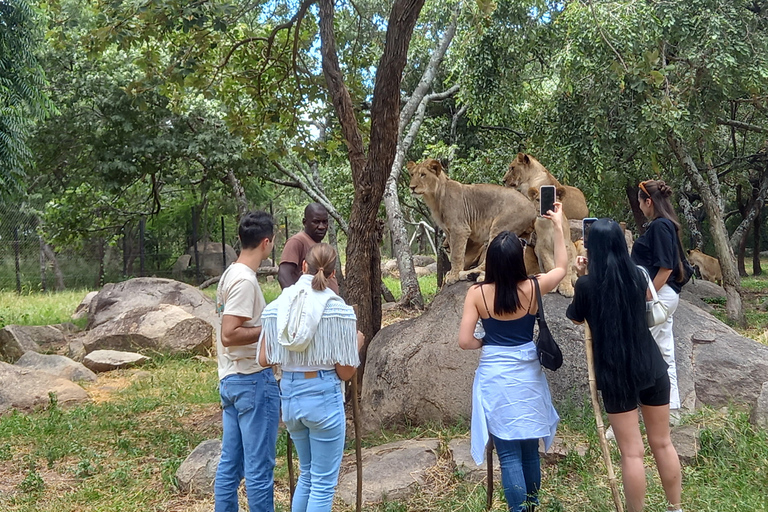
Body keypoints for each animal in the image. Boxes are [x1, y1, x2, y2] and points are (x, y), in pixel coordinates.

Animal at [404, 159, 536, 284]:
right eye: (412, 174)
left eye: (423, 175)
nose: (412, 187)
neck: (434, 198)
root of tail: (532, 206)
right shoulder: (448, 231)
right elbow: (454, 251)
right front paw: (452, 272)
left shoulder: (460, 229)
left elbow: (456, 254)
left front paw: (454, 276)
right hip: (521, 236)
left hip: (500, 228)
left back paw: (469, 274)